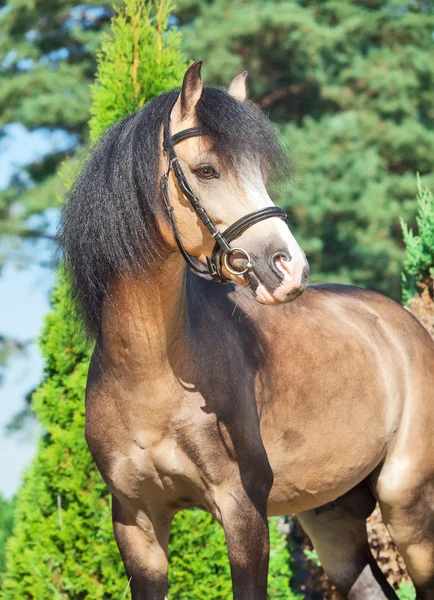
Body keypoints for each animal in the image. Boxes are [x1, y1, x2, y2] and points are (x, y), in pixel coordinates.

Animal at [59, 62, 434, 600]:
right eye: (206, 170)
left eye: (259, 172)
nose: (290, 268)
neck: (147, 371)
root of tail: (404, 325)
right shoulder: (136, 525)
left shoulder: (243, 511)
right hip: (332, 515)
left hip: (407, 503)